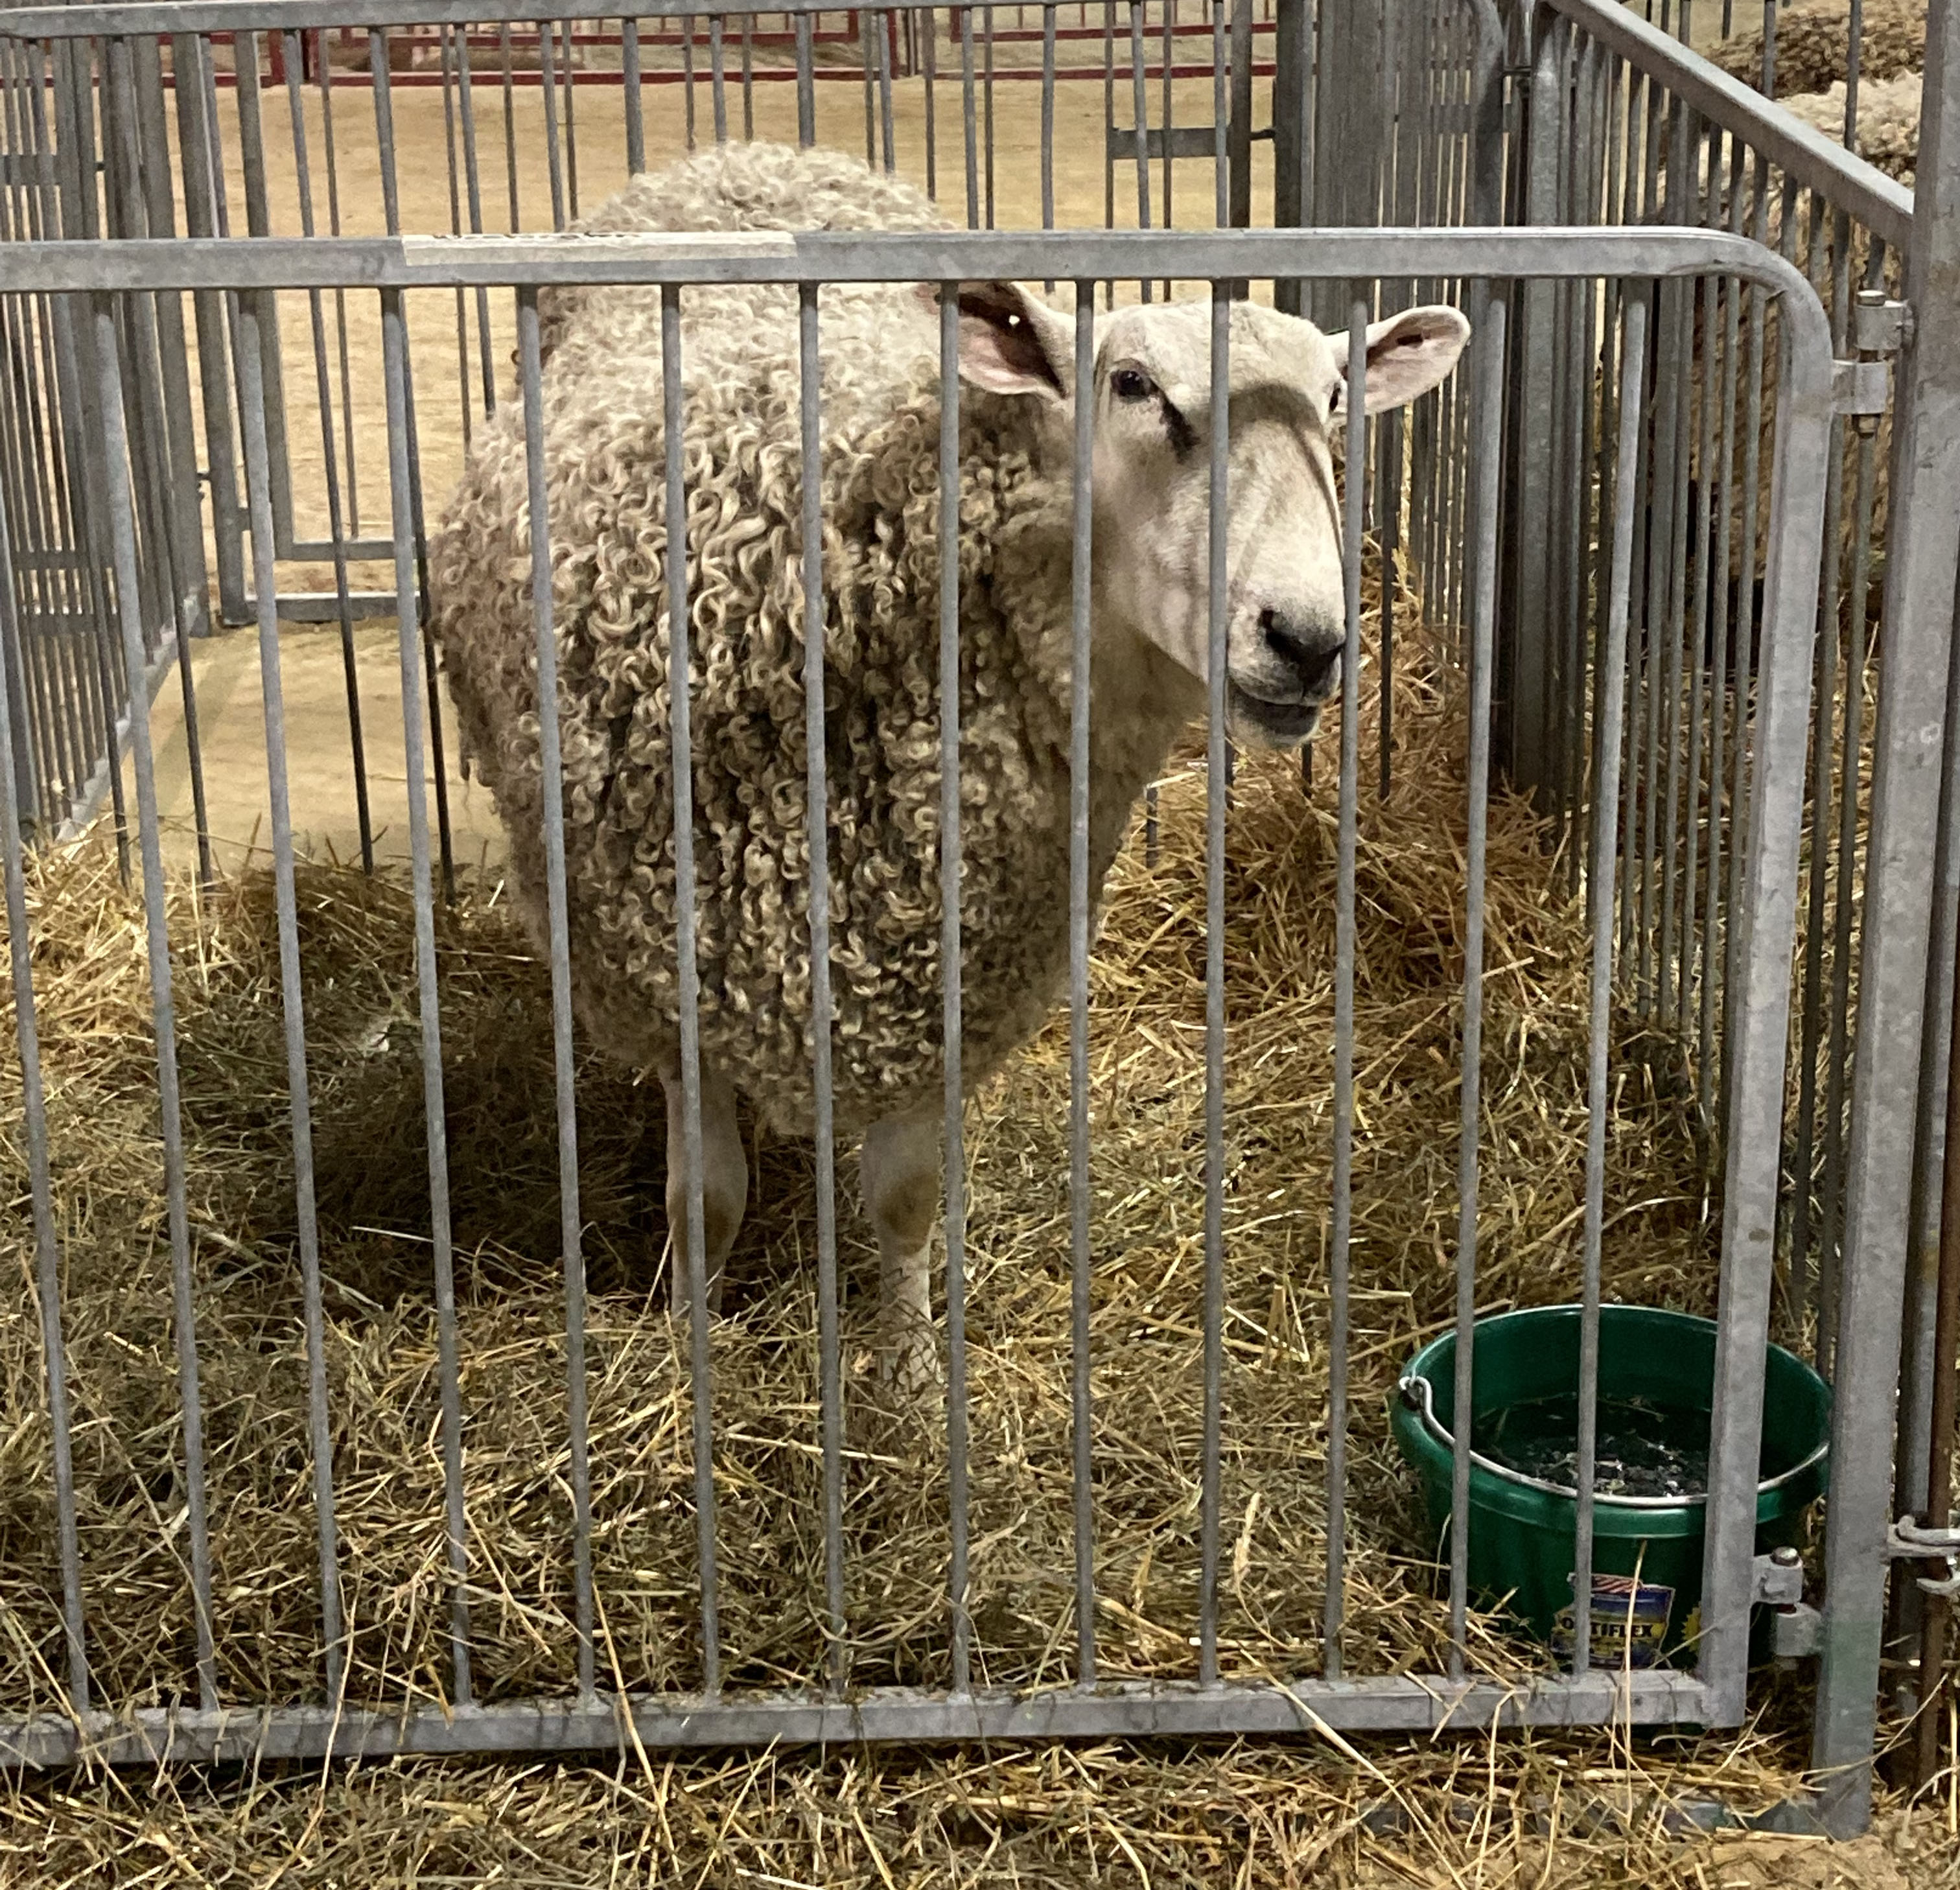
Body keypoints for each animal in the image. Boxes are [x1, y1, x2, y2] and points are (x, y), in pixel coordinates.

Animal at [429, 141, 1470, 1391]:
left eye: (1335, 402)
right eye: (1133, 387)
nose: (1306, 640)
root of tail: (749, 153)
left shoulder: (944, 980)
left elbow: (908, 1201)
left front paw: (912, 1378)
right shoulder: (667, 980)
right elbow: (707, 1203)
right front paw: (687, 1359)